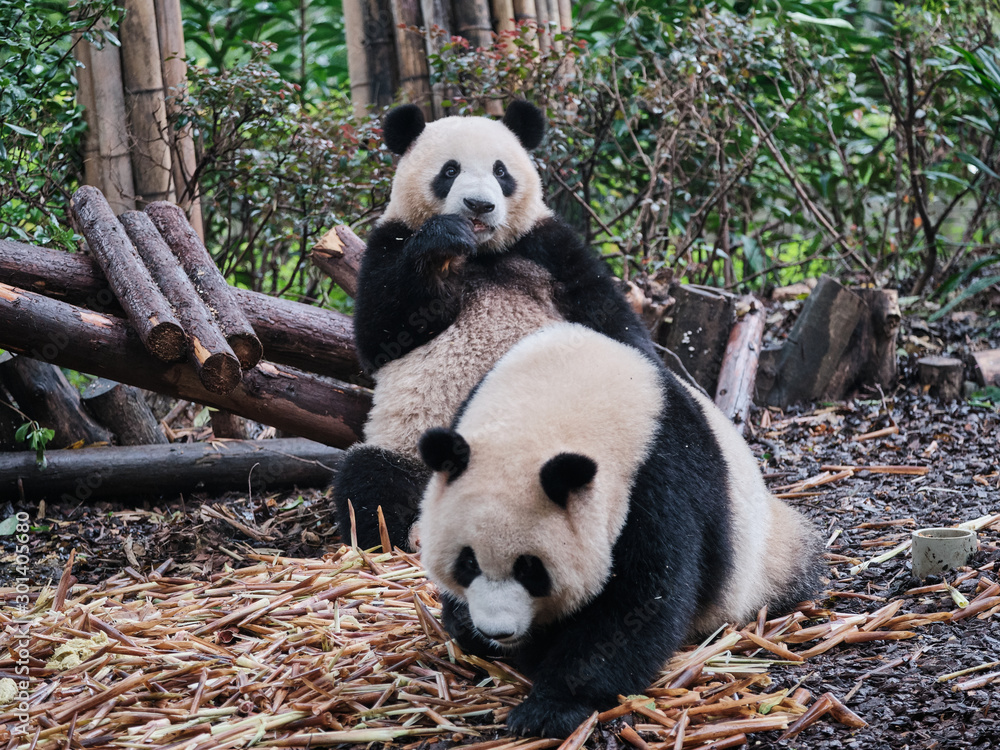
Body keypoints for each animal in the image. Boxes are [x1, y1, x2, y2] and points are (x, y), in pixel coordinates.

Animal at [334, 100, 656, 550]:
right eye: (449, 170)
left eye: (501, 171)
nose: (478, 205)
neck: (482, 252)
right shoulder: (390, 240)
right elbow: (379, 332)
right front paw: (442, 239)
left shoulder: (547, 245)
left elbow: (609, 316)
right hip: (411, 451)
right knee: (370, 479)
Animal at [416, 322, 822, 738]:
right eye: (468, 563)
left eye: (530, 569)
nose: (497, 631)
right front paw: (468, 627)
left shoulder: (656, 481)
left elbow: (638, 604)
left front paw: (550, 708)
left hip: (759, 557)